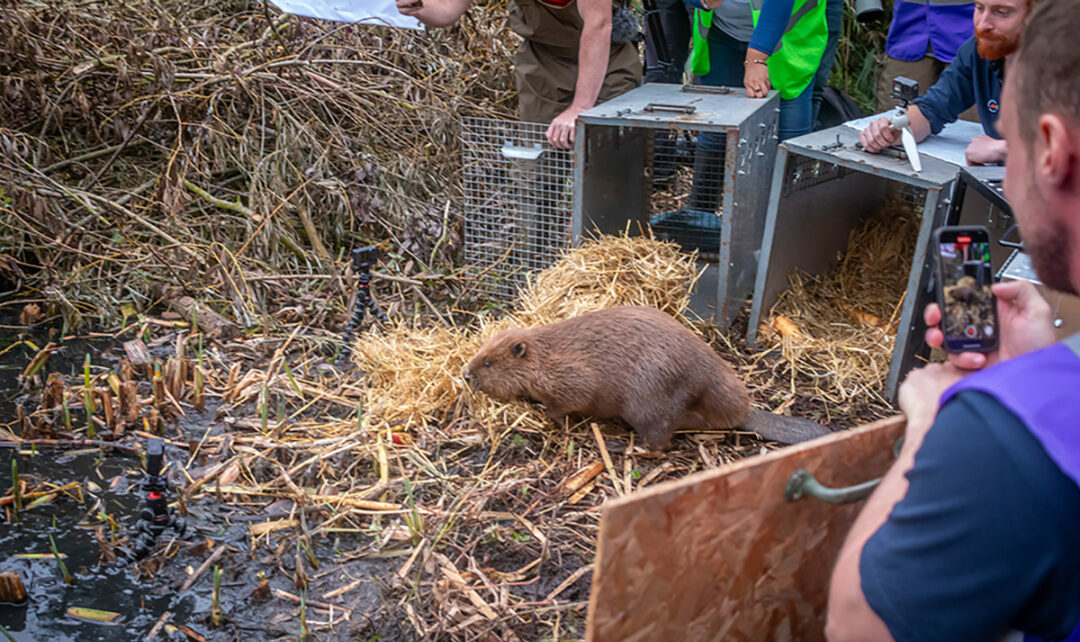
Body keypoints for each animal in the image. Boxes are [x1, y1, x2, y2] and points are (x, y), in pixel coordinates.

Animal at [462, 306, 825, 449]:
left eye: (489, 363)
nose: (466, 373)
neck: (545, 352)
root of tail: (747, 413)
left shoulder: (570, 375)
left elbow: (567, 401)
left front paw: (549, 415)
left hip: (647, 402)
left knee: (662, 440)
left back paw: (628, 447)